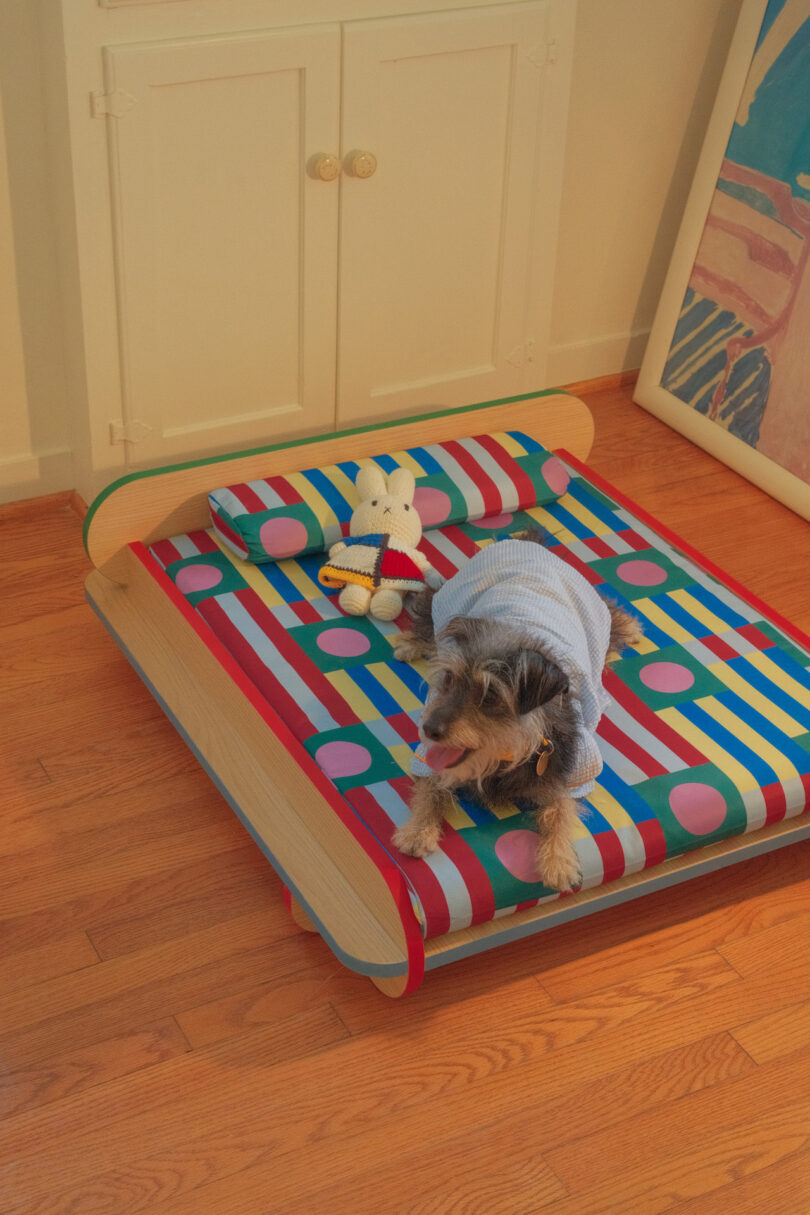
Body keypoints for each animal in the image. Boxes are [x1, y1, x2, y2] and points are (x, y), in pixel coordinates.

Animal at [388, 532, 641, 894]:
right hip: (452, 598)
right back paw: (411, 642)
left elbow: (560, 809)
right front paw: (418, 830)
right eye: (448, 678)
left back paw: (628, 625)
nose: (429, 728)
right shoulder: (429, 755)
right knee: (430, 602)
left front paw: (558, 860)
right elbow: (430, 786)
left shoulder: (577, 770)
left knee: (608, 612)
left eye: (490, 695)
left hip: (593, 618)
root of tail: (529, 546)